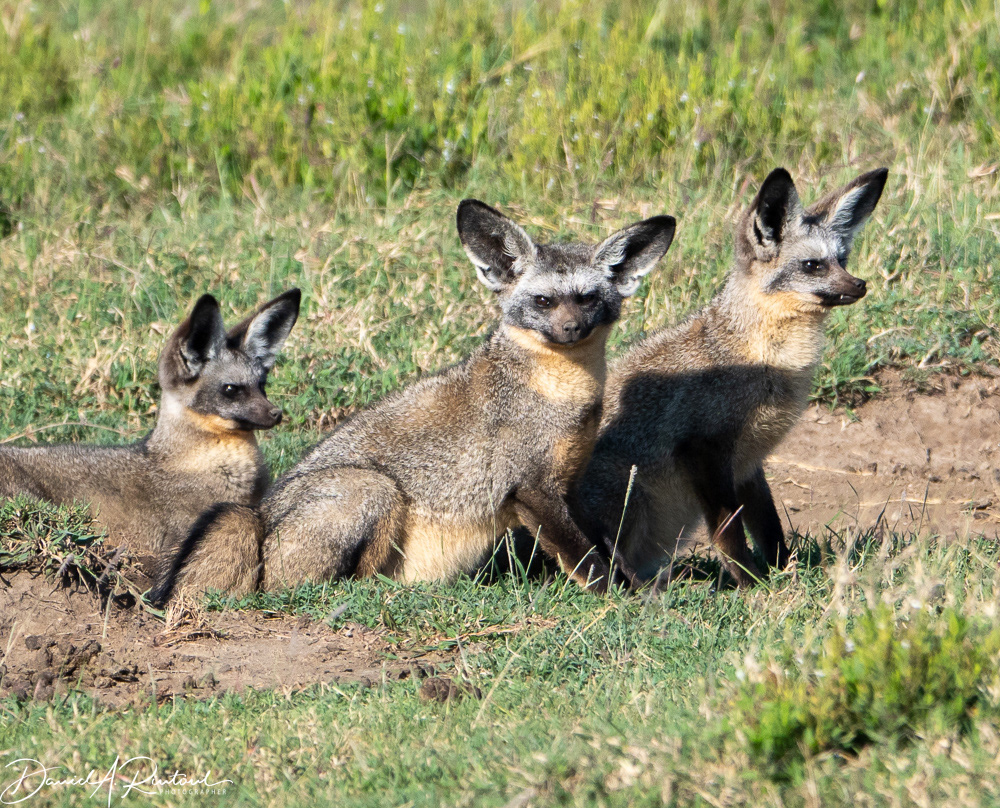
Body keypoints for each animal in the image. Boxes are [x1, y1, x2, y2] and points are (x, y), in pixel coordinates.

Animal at [151, 200, 676, 603]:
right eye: (544, 302)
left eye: (587, 299)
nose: (570, 329)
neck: (562, 397)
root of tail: (260, 516)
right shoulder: (528, 488)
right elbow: (588, 561)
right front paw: (619, 600)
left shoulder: (568, 485)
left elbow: (606, 547)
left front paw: (638, 586)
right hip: (374, 490)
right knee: (326, 586)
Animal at [572, 167, 888, 587]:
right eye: (813, 266)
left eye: (842, 260)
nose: (860, 285)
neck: (764, 361)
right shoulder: (704, 449)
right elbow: (728, 531)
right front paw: (750, 583)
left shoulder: (749, 460)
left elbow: (768, 524)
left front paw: (782, 571)